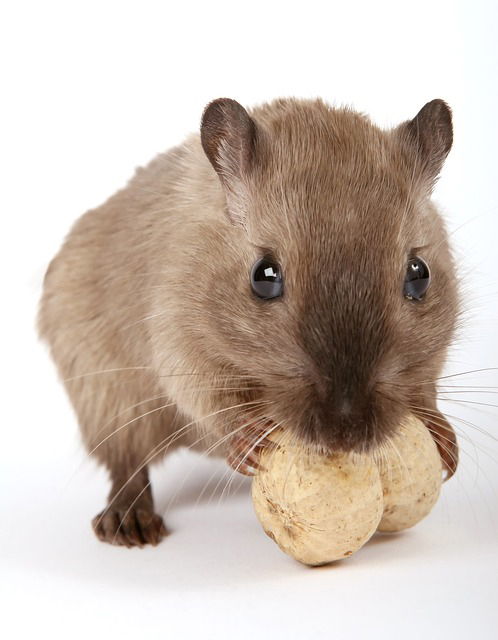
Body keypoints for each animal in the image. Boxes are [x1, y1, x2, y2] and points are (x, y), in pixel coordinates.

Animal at [38, 97, 459, 547]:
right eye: (264, 276)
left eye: (419, 274)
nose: (344, 435)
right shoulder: (179, 344)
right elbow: (208, 401)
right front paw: (245, 440)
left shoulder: (433, 356)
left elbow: (425, 387)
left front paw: (443, 437)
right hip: (107, 401)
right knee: (125, 463)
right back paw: (128, 521)